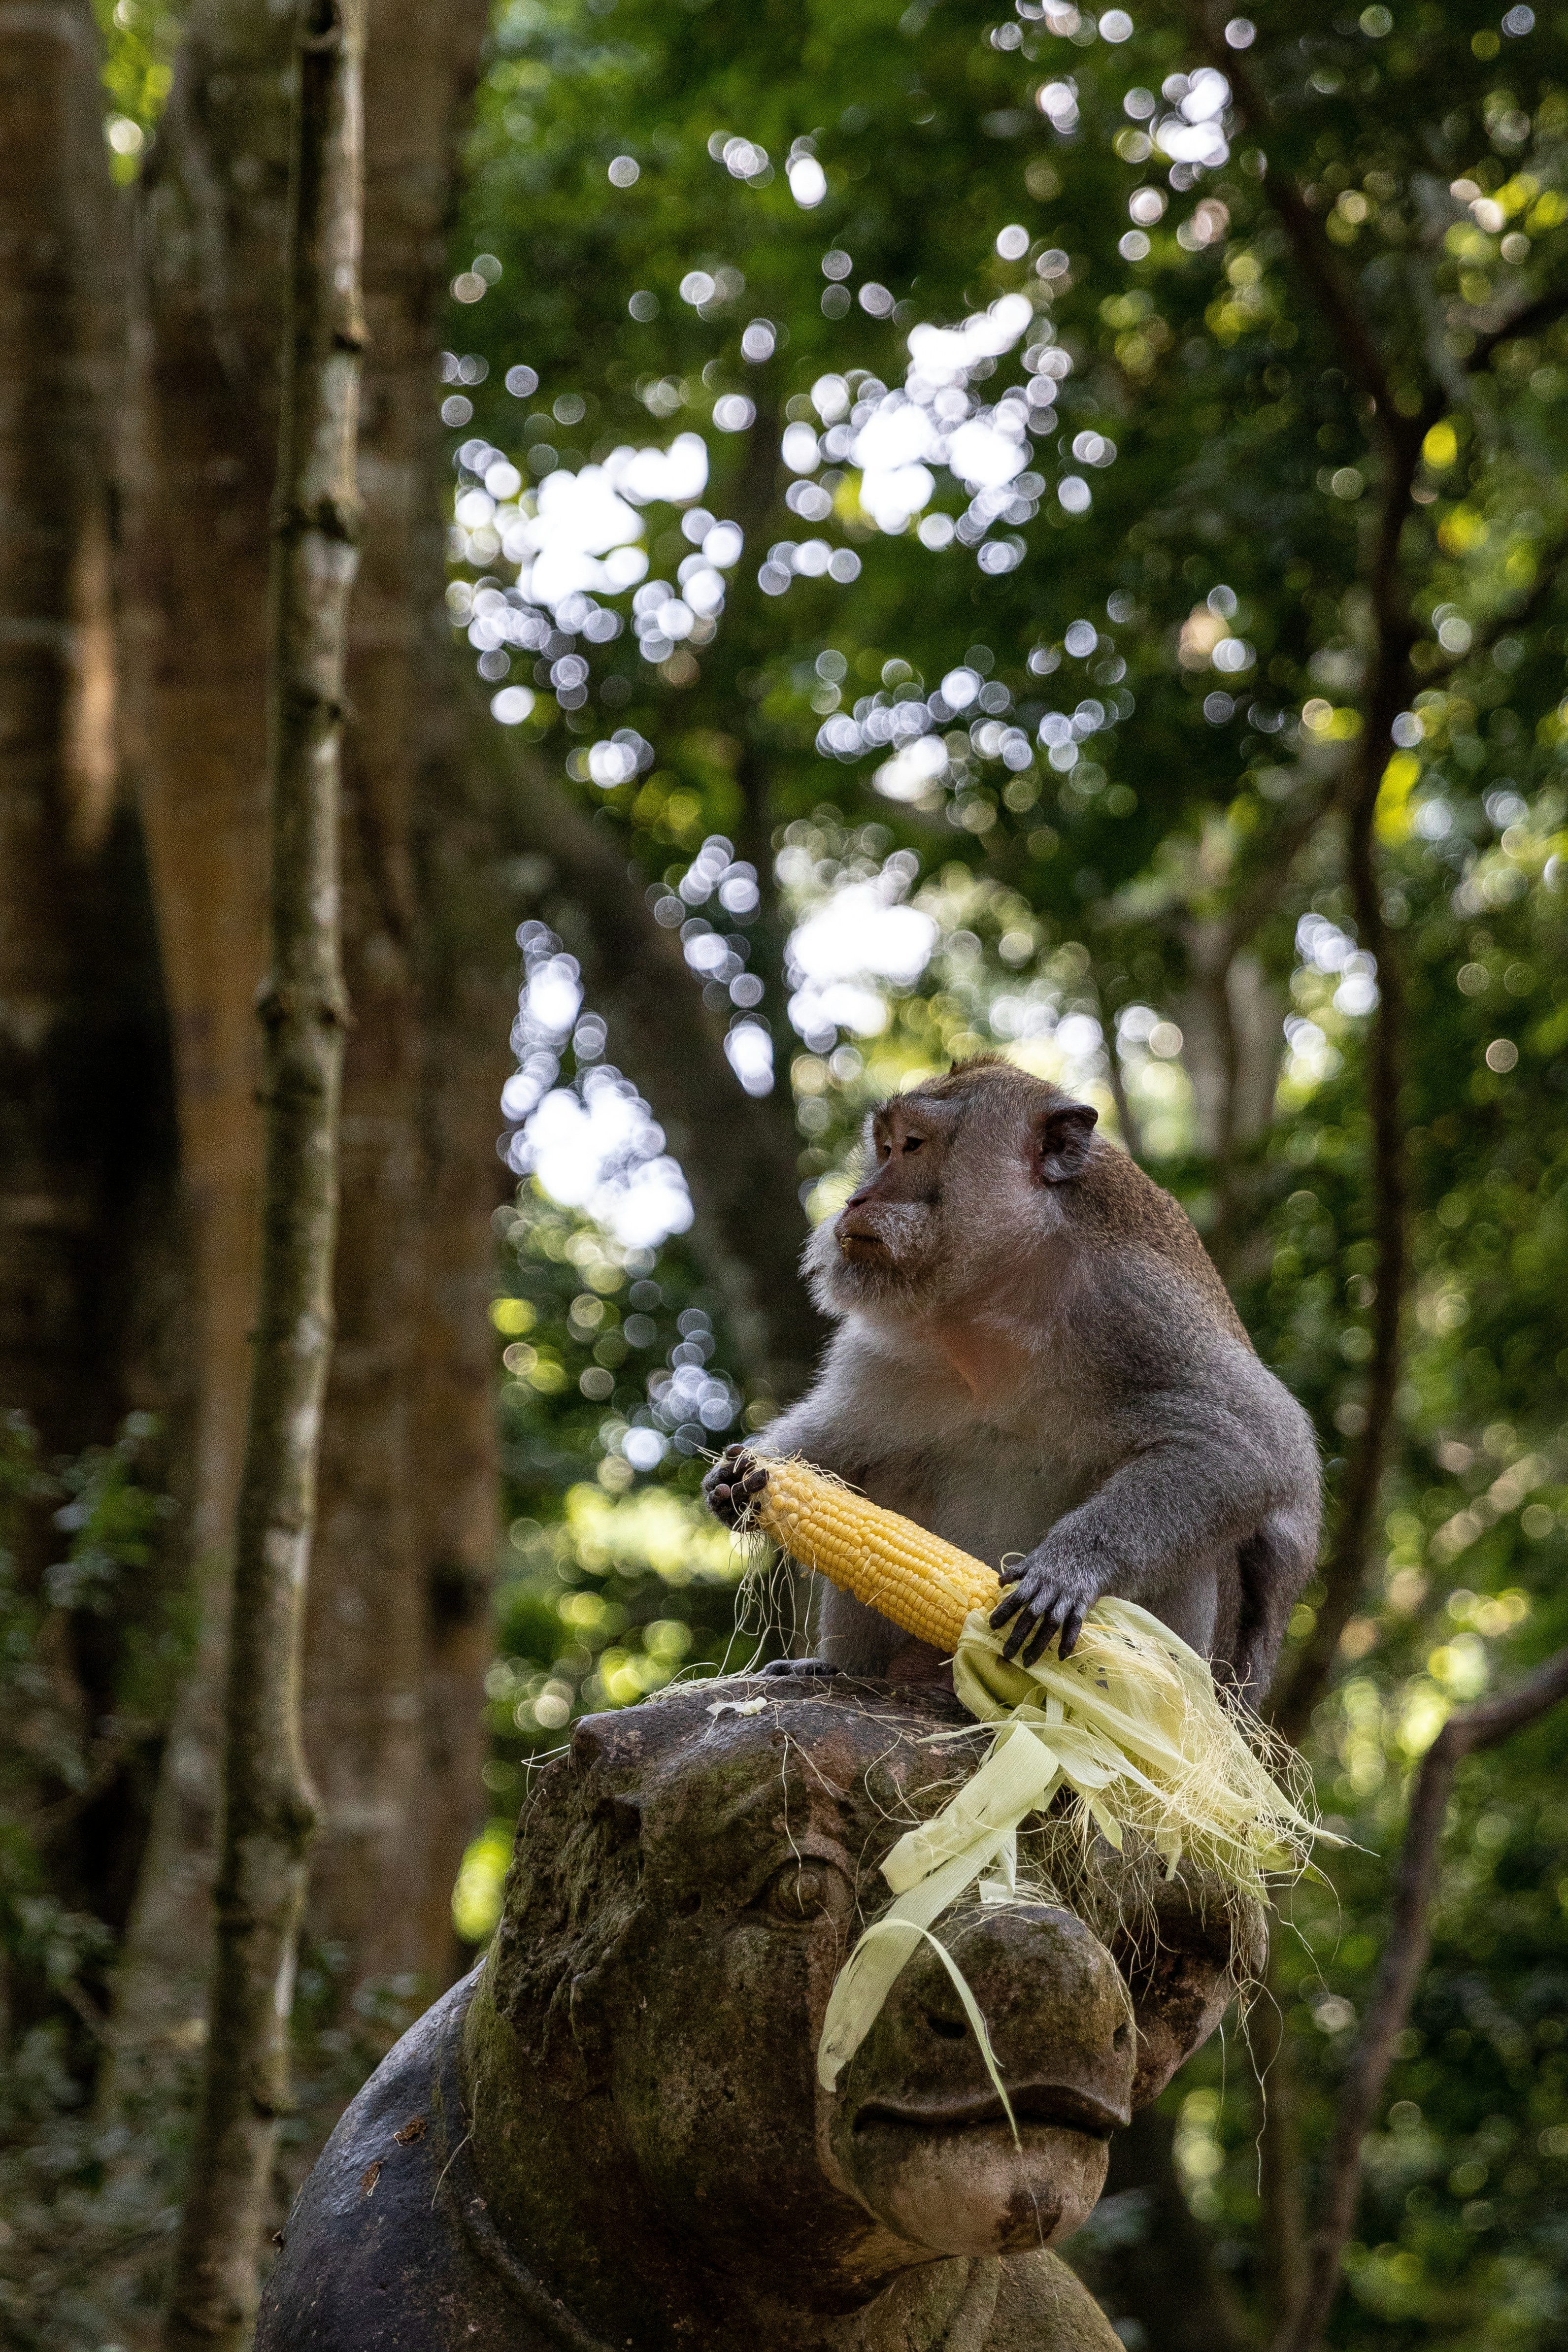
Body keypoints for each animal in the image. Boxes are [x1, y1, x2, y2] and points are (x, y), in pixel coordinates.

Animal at [705, 1056, 1319, 1705]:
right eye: (884, 1147)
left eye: (914, 1145)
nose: (856, 1197)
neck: (998, 1299)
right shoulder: (885, 1342)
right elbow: (845, 1432)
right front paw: (739, 1478)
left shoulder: (1136, 1305)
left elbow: (1251, 1447)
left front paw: (1069, 1566)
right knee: (889, 1474)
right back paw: (841, 1669)